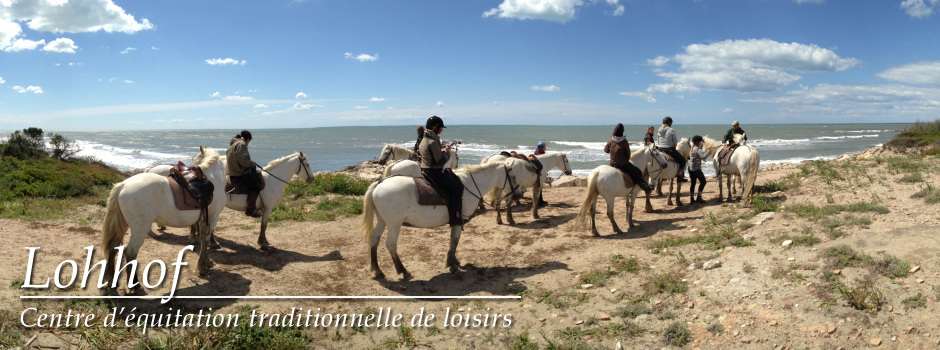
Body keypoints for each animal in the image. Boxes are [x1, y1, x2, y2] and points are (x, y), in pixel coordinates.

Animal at [102, 146, 227, 294]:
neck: (214, 178)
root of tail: (124, 184)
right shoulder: (212, 217)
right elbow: (205, 240)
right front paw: (202, 266)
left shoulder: (204, 220)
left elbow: (204, 240)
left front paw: (207, 261)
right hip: (139, 229)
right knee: (130, 252)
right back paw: (135, 286)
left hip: (123, 224)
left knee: (113, 247)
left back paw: (111, 280)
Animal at [147, 152, 316, 250]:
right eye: (307, 164)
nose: (312, 179)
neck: (272, 180)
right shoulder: (267, 208)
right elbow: (264, 225)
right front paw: (262, 243)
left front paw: (264, 242)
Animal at [360, 163, 524, 280]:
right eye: (513, 176)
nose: (519, 194)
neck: (469, 185)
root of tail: (380, 183)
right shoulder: (459, 221)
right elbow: (455, 241)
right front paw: (452, 265)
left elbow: (453, 241)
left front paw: (454, 261)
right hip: (394, 224)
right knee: (391, 245)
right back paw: (403, 271)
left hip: (382, 221)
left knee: (374, 240)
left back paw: (377, 270)